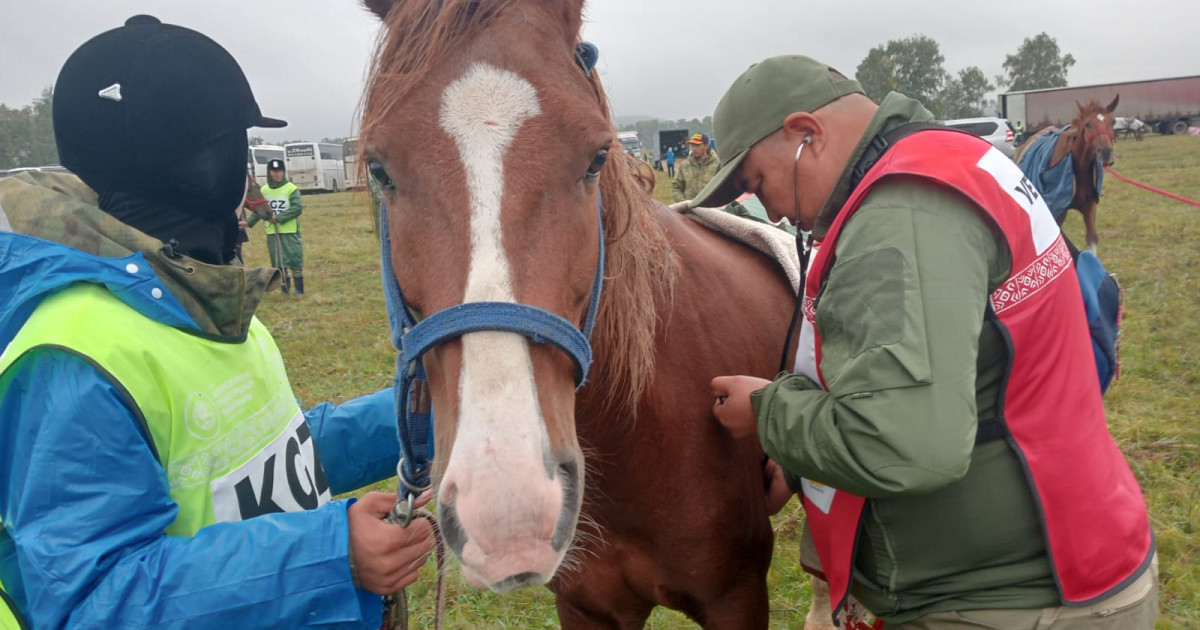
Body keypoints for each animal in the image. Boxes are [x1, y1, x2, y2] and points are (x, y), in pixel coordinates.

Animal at [1017, 96, 1118, 248]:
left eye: (1113, 122)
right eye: (1087, 124)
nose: (1106, 153)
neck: (1078, 169)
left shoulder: (1089, 206)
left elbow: (1092, 238)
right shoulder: (1055, 209)